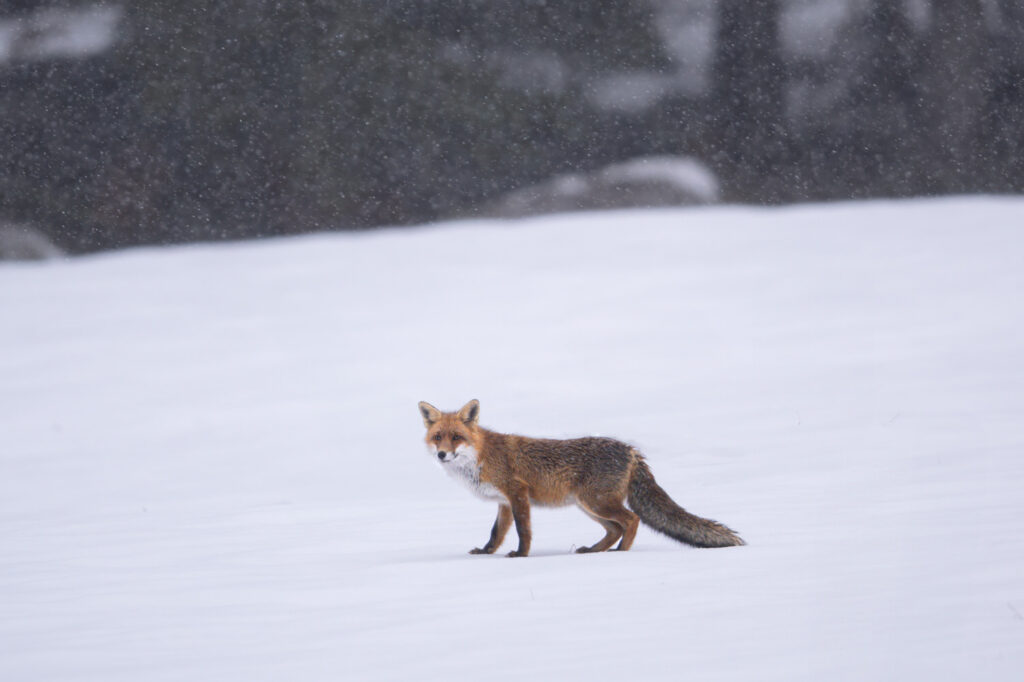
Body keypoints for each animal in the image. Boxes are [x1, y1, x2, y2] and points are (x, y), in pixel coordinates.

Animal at [419, 399, 744, 557]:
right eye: (438, 437)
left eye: (456, 437)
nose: (442, 455)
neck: (481, 457)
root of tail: (631, 450)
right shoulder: (503, 502)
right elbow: (495, 534)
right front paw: (485, 553)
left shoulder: (517, 493)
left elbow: (524, 532)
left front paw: (521, 556)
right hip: (587, 506)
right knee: (614, 529)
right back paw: (595, 551)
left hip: (595, 502)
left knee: (631, 520)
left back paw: (621, 554)